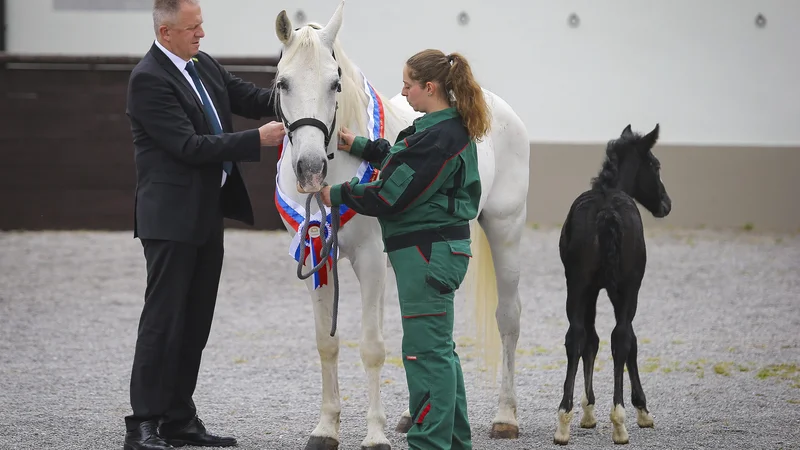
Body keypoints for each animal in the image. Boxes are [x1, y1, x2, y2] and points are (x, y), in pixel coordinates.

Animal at [274, 2, 532, 446]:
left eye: (334, 84)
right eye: (282, 83)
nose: (310, 169)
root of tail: (493, 105)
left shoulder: (371, 261)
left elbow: (373, 347)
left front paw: (374, 436)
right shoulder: (316, 258)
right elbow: (327, 343)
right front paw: (326, 429)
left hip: (506, 232)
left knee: (508, 319)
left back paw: (505, 417)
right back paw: (415, 416)